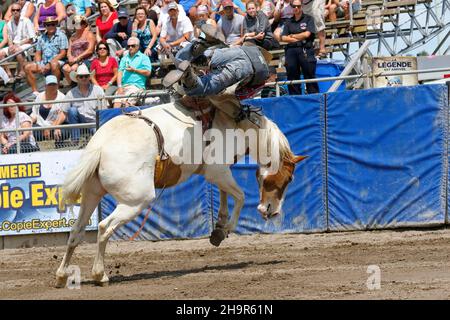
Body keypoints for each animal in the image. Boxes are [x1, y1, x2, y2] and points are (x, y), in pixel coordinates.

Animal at [53, 98, 306, 288]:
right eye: (288, 178)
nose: (271, 211)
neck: (237, 124)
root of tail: (101, 145)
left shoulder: (219, 172)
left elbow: (225, 195)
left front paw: (219, 227)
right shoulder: (216, 171)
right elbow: (240, 196)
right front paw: (226, 229)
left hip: (91, 194)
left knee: (76, 232)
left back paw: (62, 275)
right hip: (136, 200)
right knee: (104, 227)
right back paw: (100, 275)